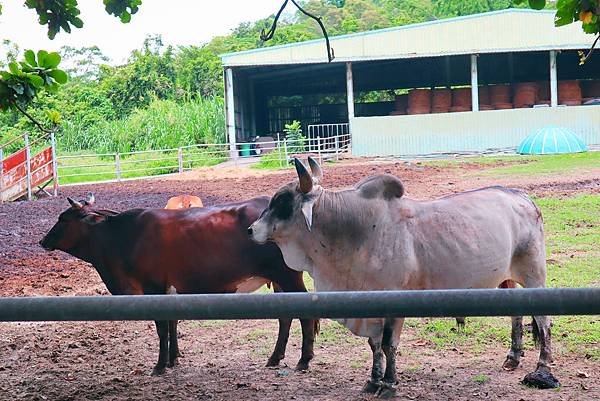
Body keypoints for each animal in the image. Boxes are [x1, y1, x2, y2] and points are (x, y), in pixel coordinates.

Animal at [39, 194, 316, 376]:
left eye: (63, 219)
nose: (43, 241)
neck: (120, 237)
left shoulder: (152, 287)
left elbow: (162, 327)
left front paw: (160, 365)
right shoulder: (169, 289)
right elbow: (172, 323)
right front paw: (173, 359)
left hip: (288, 276)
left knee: (306, 316)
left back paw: (304, 360)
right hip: (280, 279)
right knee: (285, 317)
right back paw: (275, 358)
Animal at [250, 157, 556, 396]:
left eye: (282, 201)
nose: (251, 230)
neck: (355, 231)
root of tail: (523, 197)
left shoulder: (394, 303)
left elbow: (388, 345)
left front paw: (389, 384)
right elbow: (374, 345)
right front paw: (373, 382)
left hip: (534, 274)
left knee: (544, 321)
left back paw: (542, 367)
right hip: (507, 279)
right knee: (517, 314)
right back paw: (513, 358)